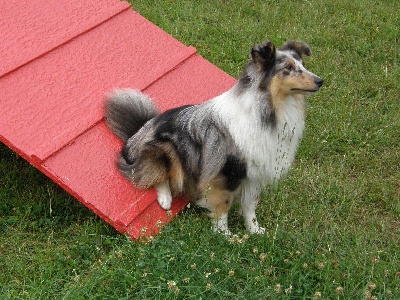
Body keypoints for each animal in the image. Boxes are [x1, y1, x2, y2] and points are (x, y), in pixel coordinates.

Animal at [104, 40, 324, 234]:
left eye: (303, 65)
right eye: (288, 68)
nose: (320, 81)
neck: (269, 108)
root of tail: (138, 130)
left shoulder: (254, 172)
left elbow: (250, 205)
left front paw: (255, 231)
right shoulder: (226, 172)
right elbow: (223, 205)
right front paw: (225, 235)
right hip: (166, 149)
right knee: (152, 174)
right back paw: (165, 199)